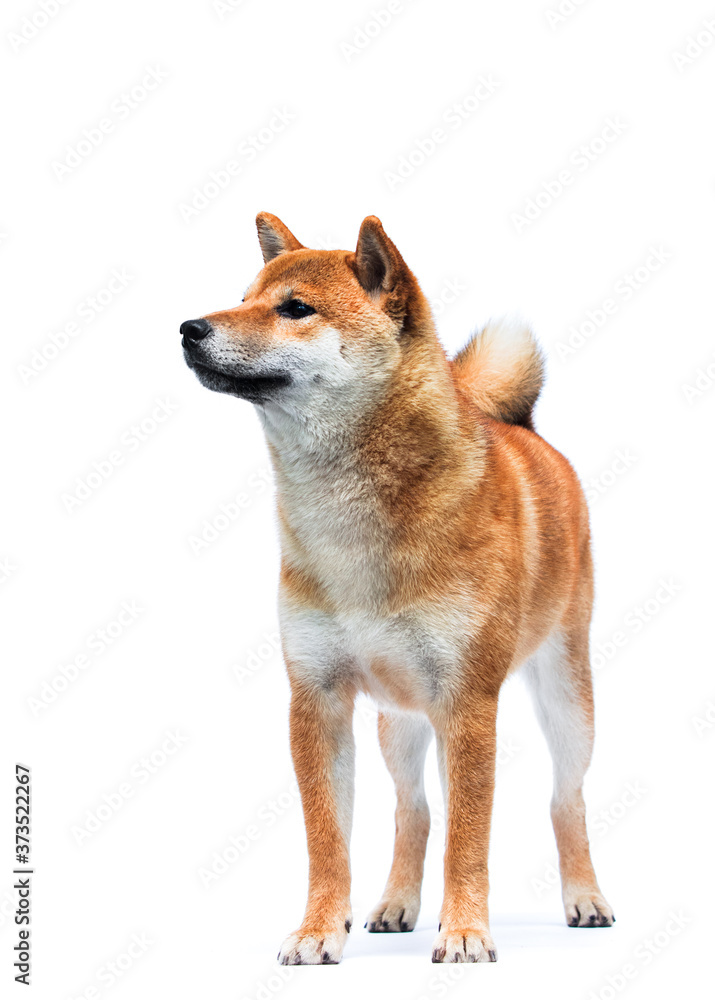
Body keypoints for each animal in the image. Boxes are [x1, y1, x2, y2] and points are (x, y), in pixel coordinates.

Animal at [182, 215, 612, 964]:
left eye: (295, 309)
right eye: (242, 299)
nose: (189, 327)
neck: (352, 532)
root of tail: (526, 432)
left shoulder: (468, 702)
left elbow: (470, 838)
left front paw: (466, 931)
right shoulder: (316, 699)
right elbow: (328, 840)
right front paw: (319, 931)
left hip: (564, 696)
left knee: (566, 797)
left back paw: (583, 897)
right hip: (401, 721)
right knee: (413, 810)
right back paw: (396, 904)